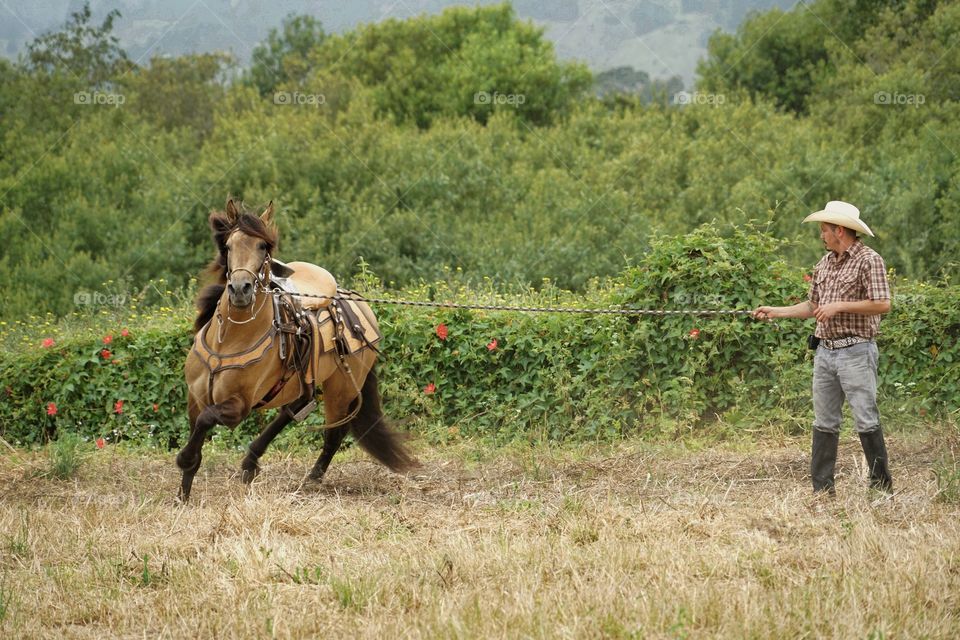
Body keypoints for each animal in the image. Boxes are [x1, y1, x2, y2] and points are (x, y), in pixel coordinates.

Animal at [175, 199, 417, 501]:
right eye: (228, 246)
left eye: (263, 247)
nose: (241, 289)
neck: (229, 340)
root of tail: (359, 303)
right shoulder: (195, 397)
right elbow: (198, 428)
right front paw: (183, 492)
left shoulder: (238, 405)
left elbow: (206, 420)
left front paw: (184, 460)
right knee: (295, 408)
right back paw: (251, 463)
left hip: (341, 387)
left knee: (335, 431)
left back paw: (311, 478)